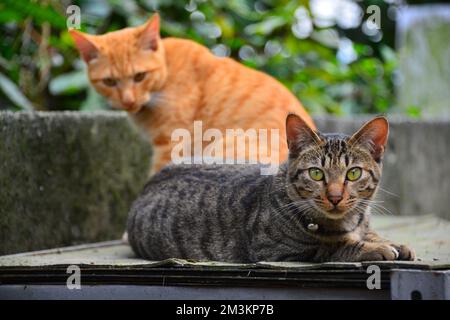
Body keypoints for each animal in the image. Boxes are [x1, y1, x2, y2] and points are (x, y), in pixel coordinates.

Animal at [126, 115, 414, 262]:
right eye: (316, 173)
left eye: (353, 173)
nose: (334, 197)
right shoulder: (277, 250)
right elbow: (333, 247)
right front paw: (373, 248)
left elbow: (368, 233)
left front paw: (390, 241)